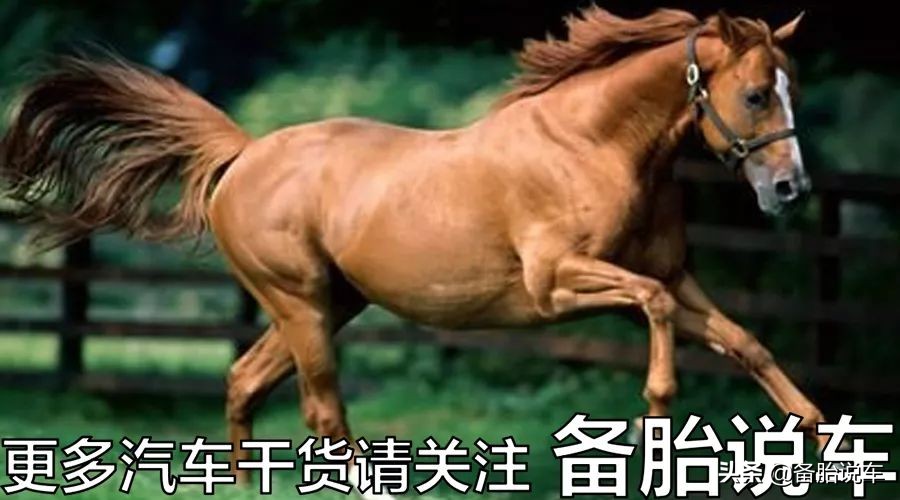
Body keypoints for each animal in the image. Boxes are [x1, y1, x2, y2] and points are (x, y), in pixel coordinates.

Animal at [0, 5, 827, 496]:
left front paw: (820, 437)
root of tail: (245, 154)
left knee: (244, 382)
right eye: (757, 94)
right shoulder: (560, 285)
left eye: (793, 90)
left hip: (329, 303)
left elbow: (745, 342)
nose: (792, 189)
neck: (592, 145)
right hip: (300, 303)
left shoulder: (674, 277)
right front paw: (655, 423)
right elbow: (654, 315)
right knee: (322, 409)